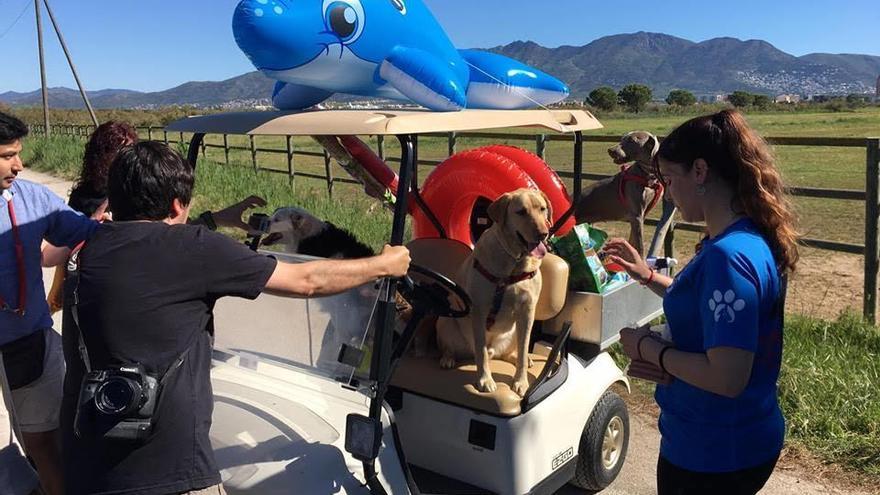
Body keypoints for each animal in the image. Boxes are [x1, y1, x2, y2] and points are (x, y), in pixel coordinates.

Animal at [434, 188, 552, 398]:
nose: (543, 234)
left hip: (514, 332)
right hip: (445, 319)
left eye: (542, 209)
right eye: (521, 212)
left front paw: (521, 381)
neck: (514, 265)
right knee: (454, 348)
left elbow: (523, 351)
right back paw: (448, 359)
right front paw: (485, 380)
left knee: (510, 353)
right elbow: (480, 352)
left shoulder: (527, 312)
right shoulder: (479, 311)